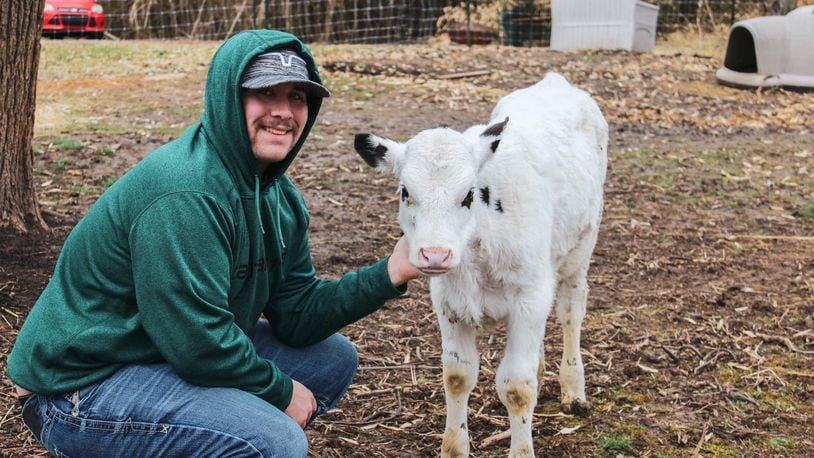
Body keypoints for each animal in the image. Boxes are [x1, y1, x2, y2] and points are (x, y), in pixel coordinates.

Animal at [354, 73, 608, 456]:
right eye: (405, 192)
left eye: (469, 195)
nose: (435, 254)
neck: (481, 248)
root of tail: (555, 81)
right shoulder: (448, 303)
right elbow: (457, 377)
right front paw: (453, 448)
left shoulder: (529, 297)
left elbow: (517, 387)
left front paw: (521, 450)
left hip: (581, 249)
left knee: (570, 312)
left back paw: (573, 388)